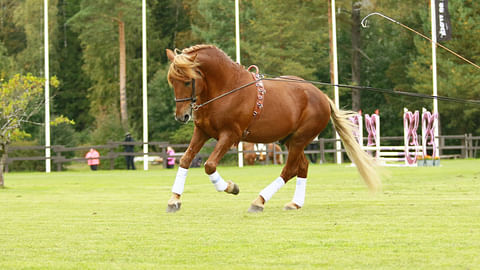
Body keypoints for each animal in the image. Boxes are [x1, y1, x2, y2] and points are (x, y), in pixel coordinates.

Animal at [165, 44, 378, 213]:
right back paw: (295, 203)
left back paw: (259, 201)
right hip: (290, 140)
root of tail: (322, 96)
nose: (181, 116)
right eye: (172, 81)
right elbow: (185, 160)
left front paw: (230, 187)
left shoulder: (230, 135)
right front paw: (174, 200)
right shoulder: (202, 132)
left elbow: (209, 165)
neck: (225, 89)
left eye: (187, 81)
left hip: (299, 139)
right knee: (302, 166)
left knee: (289, 169)